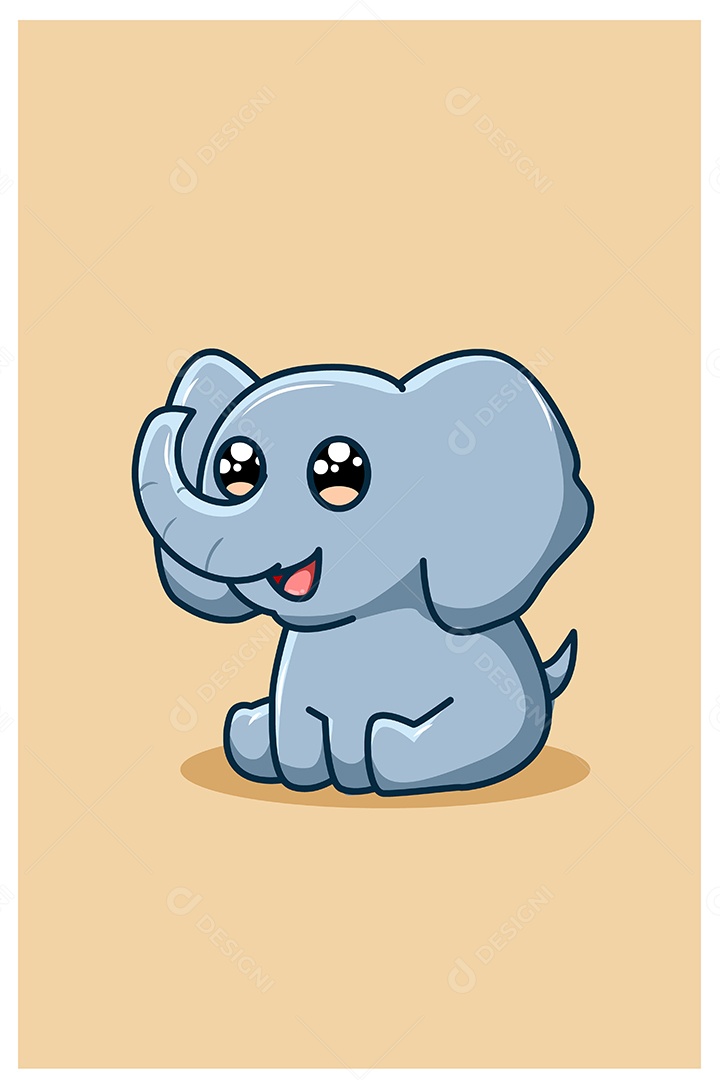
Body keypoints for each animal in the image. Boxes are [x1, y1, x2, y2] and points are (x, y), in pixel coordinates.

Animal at [133, 347, 593, 796]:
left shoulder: (490, 687)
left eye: (341, 472)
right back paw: (251, 725)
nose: (176, 415)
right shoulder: (295, 694)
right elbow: (294, 736)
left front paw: (373, 747)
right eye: (234, 470)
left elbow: (469, 734)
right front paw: (309, 770)